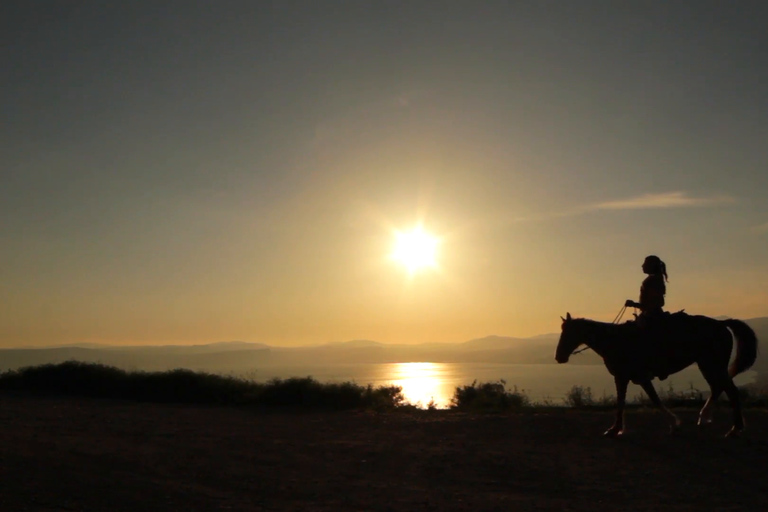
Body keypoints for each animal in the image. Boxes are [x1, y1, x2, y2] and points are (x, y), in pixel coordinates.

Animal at [556, 310, 760, 438]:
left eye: (567, 333)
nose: (558, 357)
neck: (614, 339)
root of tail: (720, 324)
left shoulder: (634, 377)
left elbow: (651, 399)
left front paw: (673, 424)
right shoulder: (625, 377)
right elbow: (624, 401)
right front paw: (615, 429)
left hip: (712, 365)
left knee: (730, 391)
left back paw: (734, 429)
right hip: (708, 365)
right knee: (718, 388)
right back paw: (704, 418)